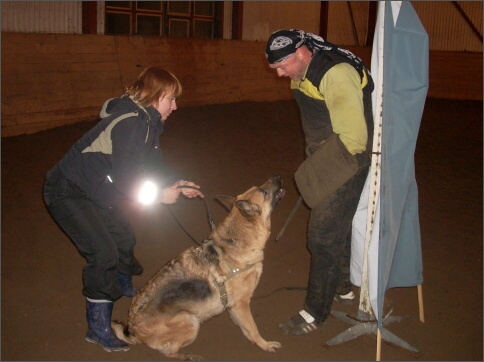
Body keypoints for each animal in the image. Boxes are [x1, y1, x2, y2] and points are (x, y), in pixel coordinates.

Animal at [111, 175, 286, 360]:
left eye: (261, 187)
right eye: (264, 191)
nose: (278, 176)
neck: (237, 241)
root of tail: (133, 329)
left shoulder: (234, 307)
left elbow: (247, 330)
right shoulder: (241, 304)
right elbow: (254, 328)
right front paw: (265, 345)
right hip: (190, 320)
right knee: (167, 352)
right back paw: (187, 356)